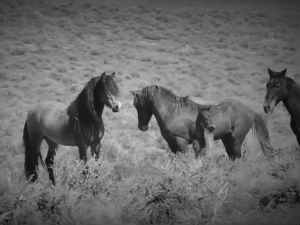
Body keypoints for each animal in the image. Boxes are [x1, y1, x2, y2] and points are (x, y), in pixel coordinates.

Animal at [132, 85, 274, 160]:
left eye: (137, 105)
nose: (142, 127)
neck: (173, 112)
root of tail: (250, 111)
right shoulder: (172, 144)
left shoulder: (181, 142)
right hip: (227, 139)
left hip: (236, 140)